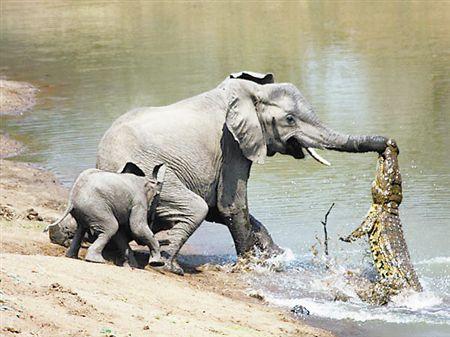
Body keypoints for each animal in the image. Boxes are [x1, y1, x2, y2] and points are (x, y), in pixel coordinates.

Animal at [97, 71, 386, 272]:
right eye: (290, 119)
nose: (387, 144)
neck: (251, 92)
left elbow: (219, 208)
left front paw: (276, 256)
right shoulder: (231, 144)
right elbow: (231, 205)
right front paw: (252, 265)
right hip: (148, 174)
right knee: (195, 208)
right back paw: (168, 266)